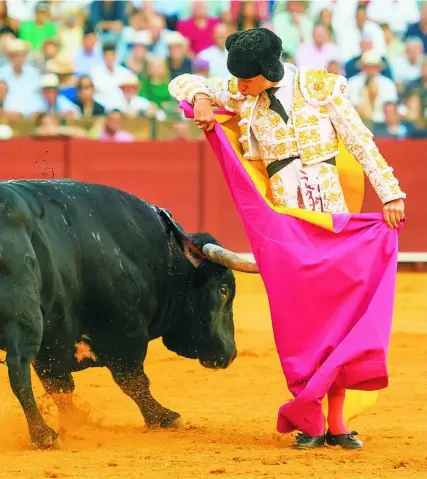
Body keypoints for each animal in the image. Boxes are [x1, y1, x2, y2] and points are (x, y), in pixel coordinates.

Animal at [0, 180, 260, 450]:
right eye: (223, 290)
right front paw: (165, 417)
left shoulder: (53, 343)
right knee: (18, 367)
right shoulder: (125, 332)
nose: (231, 354)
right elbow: (133, 380)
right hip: (25, 316)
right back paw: (44, 435)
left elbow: (60, 386)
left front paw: (77, 423)